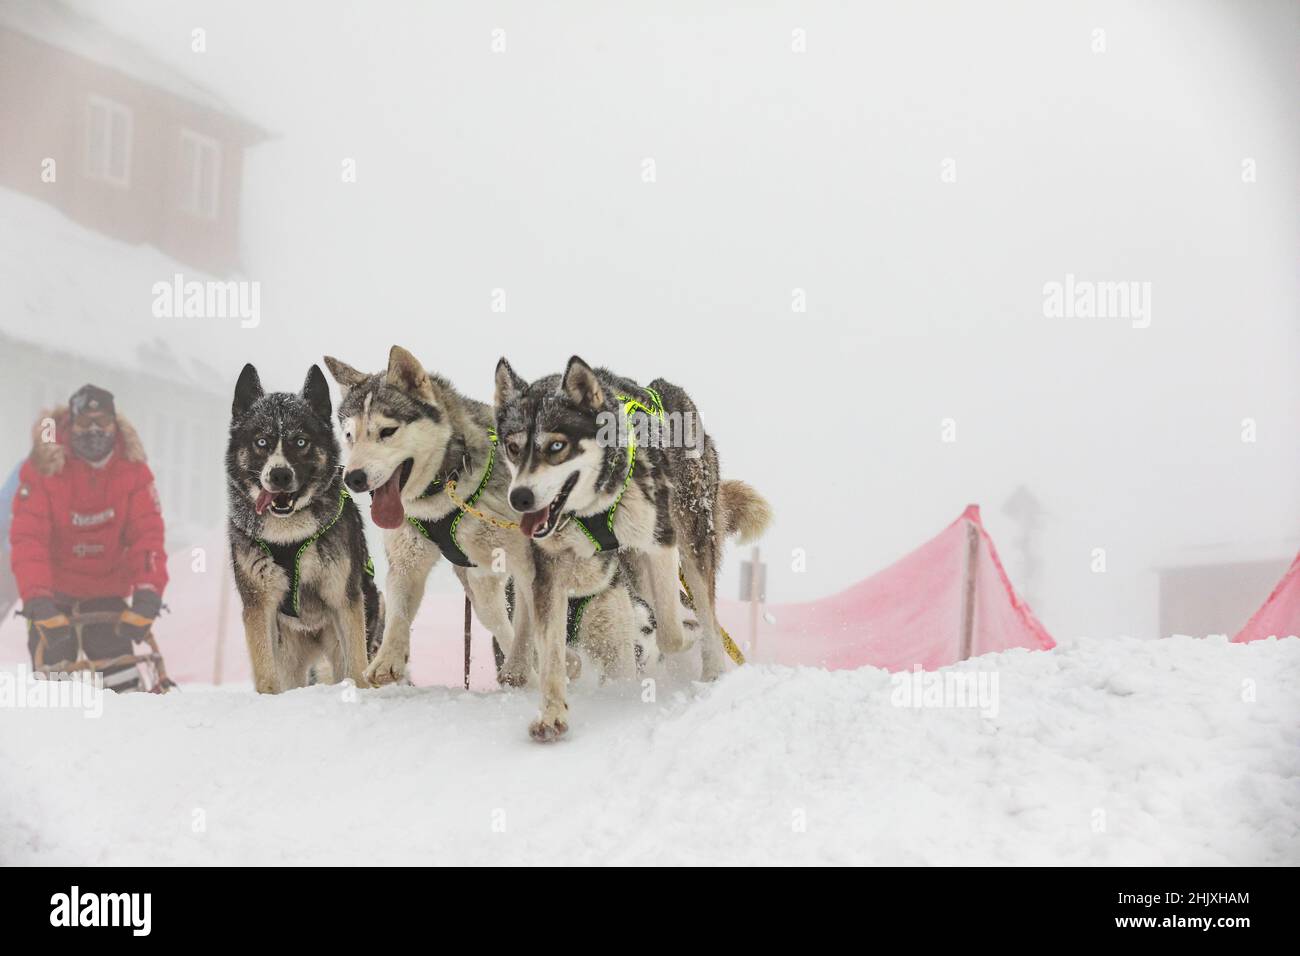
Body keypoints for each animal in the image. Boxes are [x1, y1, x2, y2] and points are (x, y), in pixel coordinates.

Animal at [226, 366, 379, 697]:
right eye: (261, 442)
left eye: (300, 442)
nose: (280, 475)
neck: (289, 535)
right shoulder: (259, 605)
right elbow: (265, 672)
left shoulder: (343, 599)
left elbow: (356, 662)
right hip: (290, 655)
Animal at [491, 356, 764, 738]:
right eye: (514, 448)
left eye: (556, 446)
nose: (520, 497)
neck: (592, 509)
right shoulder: (549, 568)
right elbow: (552, 652)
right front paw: (552, 714)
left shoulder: (660, 542)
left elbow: (670, 633)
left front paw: (685, 638)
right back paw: (517, 663)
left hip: (691, 539)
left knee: (704, 611)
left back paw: (711, 671)